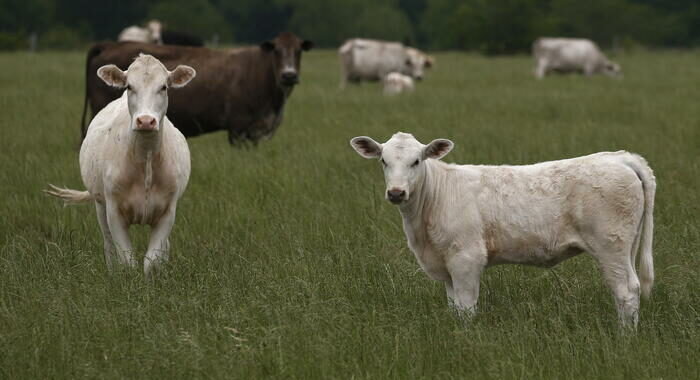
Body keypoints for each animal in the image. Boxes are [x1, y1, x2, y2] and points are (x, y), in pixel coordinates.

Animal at [45, 54, 196, 276]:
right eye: (130, 86)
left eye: (163, 87)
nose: (145, 121)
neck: (145, 160)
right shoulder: (114, 211)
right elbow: (127, 260)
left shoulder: (168, 211)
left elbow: (152, 261)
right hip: (100, 205)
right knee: (108, 246)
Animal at [350, 132, 656, 328]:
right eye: (383, 161)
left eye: (416, 161)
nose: (396, 192)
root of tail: (620, 157)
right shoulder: (446, 265)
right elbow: (453, 306)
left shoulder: (466, 258)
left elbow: (466, 308)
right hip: (626, 246)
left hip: (610, 245)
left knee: (626, 291)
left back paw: (624, 339)